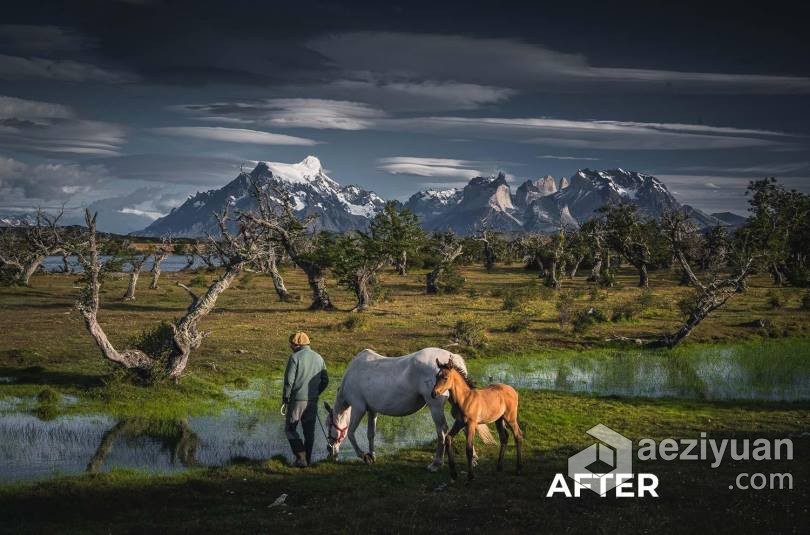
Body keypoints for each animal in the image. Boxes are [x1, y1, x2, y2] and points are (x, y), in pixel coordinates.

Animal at [324, 348, 492, 468]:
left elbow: (351, 433)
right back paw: (473, 458)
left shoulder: (359, 408)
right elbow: (371, 434)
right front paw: (372, 455)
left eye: (328, 425)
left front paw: (364, 456)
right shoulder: (373, 411)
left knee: (442, 431)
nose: (330, 452)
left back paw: (436, 463)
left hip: (435, 407)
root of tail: (452, 356)